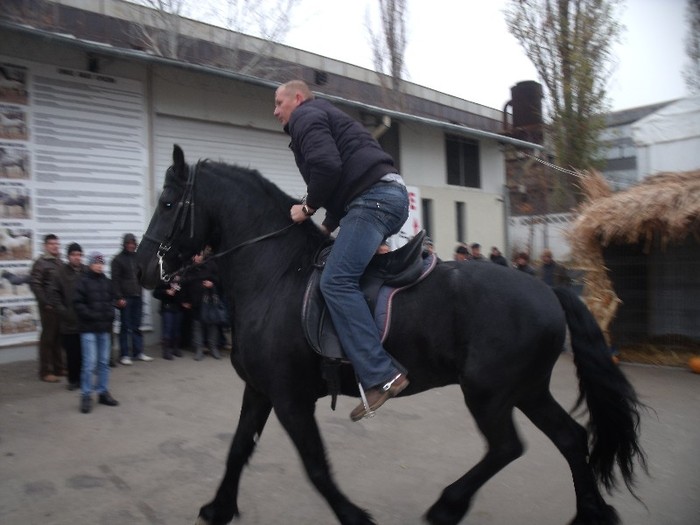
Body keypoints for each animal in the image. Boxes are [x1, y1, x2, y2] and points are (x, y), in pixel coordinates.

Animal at [137, 145, 644, 524]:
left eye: (168, 203)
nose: (143, 269)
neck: (275, 274)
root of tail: (548, 289)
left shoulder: (290, 399)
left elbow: (316, 466)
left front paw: (355, 516)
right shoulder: (260, 392)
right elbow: (239, 448)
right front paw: (218, 508)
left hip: (490, 393)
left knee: (507, 447)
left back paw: (447, 506)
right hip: (527, 389)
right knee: (570, 438)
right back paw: (590, 513)